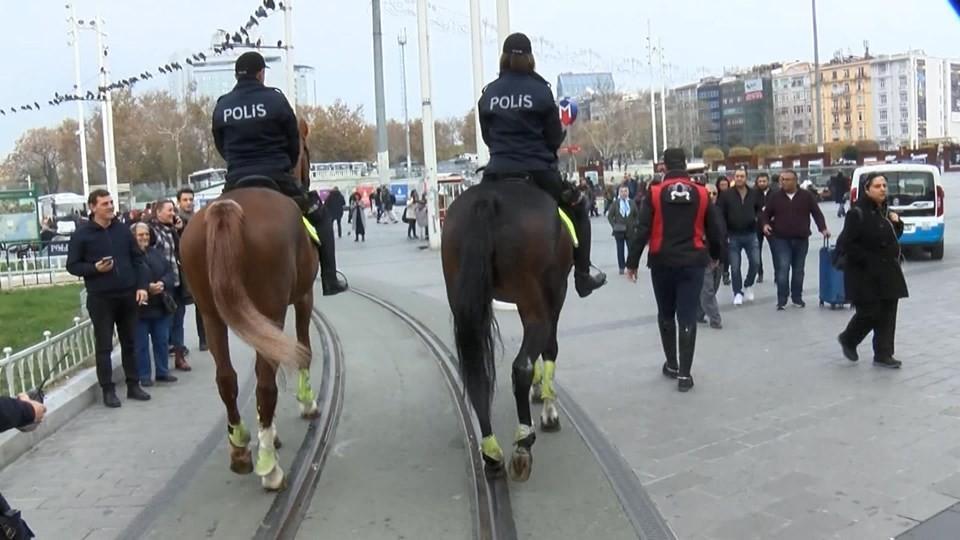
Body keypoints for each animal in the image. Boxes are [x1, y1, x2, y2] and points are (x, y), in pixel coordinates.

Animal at [182, 119, 324, 494]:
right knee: (264, 382)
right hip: (272, 309)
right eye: (305, 150)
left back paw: (241, 447)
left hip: (210, 313)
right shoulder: (303, 297)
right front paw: (306, 403)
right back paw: (269, 469)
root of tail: (227, 209)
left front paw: (265, 434)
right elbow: (303, 348)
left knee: (226, 378)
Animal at [440, 178, 572, 480]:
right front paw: (548, 406)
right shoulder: (554, 296)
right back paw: (523, 442)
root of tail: (488, 200)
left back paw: (491, 451)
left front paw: (539, 390)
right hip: (537, 297)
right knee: (521, 364)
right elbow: (550, 347)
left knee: (476, 371)